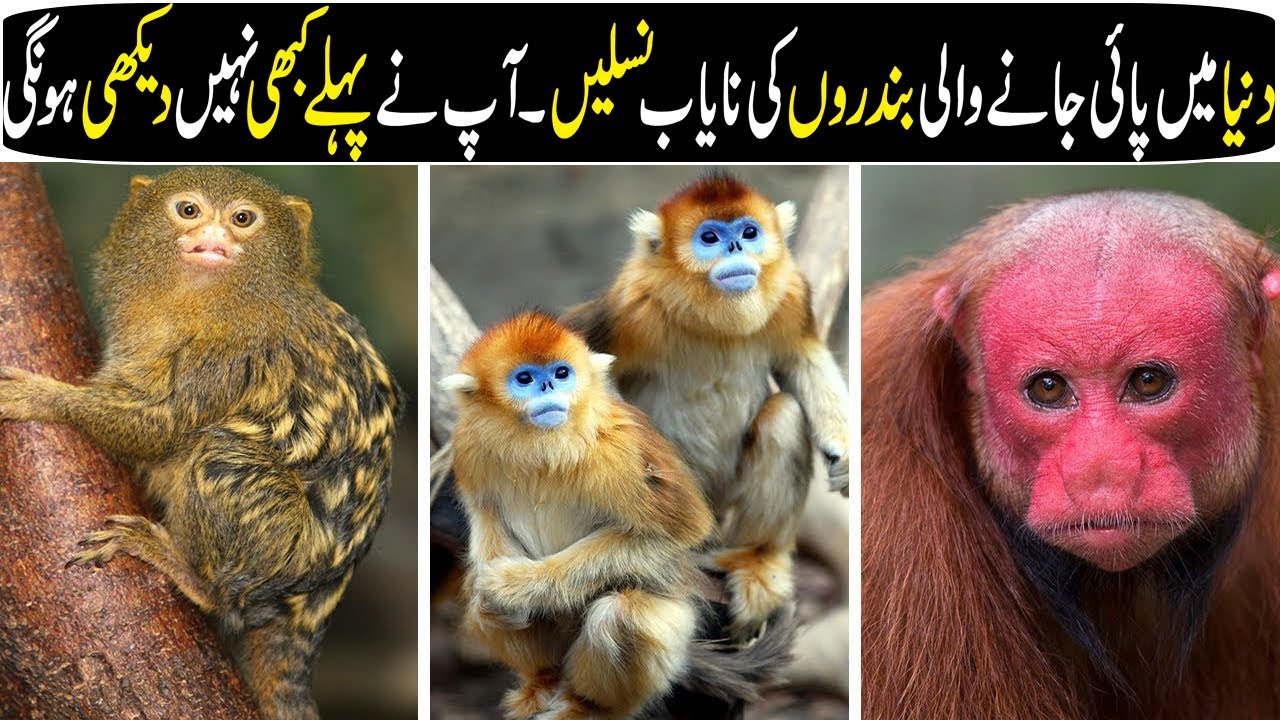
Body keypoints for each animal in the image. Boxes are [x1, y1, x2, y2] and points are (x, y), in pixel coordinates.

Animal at [0, 167, 400, 720]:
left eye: (242, 218)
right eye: (188, 210)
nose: (213, 236)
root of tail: (320, 596)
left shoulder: (228, 361)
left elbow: (158, 426)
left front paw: (45, 396)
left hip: (282, 552)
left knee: (224, 467)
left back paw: (185, 571)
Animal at [441, 311, 792, 719]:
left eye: (562, 373)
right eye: (524, 379)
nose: (547, 385)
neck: (541, 447)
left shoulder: (619, 445)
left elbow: (678, 534)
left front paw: (516, 585)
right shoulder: (469, 447)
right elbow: (486, 518)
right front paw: (500, 598)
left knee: (622, 617)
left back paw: (588, 706)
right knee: (478, 600)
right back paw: (541, 680)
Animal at [560, 173, 849, 639]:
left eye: (749, 232)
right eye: (709, 238)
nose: (735, 248)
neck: (713, 321)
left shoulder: (790, 293)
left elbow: (803, 358)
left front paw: (844, 454)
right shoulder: (630, 305)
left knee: (784, 416)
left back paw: (757, 559)